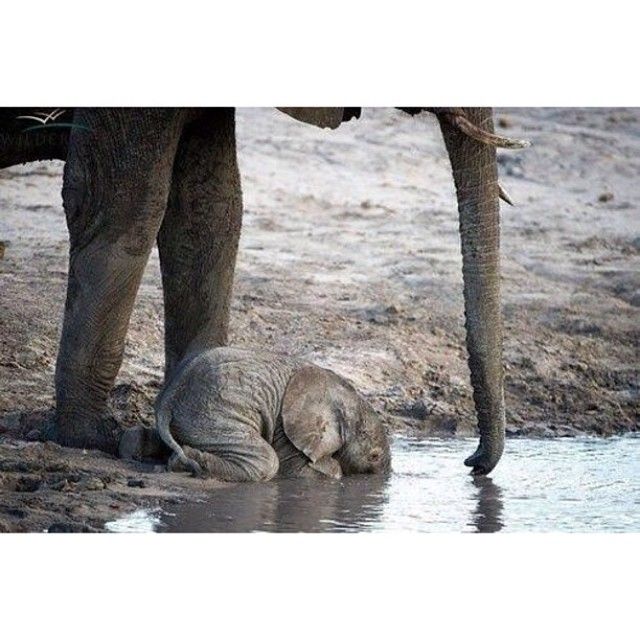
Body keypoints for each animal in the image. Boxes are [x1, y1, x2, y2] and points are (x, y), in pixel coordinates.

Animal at [151, 346, 391, 482]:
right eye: (374, 456)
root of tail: (167, 399)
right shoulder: (287, 427)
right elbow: (298, 471)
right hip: (214, 413)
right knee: (267, 461)